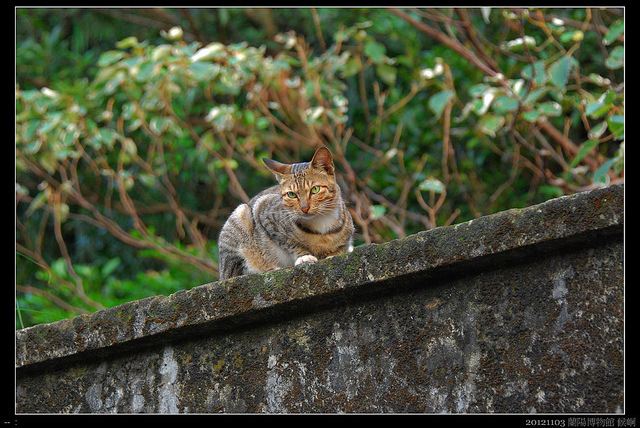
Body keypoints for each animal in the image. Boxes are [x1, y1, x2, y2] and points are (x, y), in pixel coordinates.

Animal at [217, 146, 354, 280]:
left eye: (315, 189)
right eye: (291, 194)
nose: (304, 208)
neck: (321, 223)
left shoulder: (347, 236)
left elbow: (341, 247)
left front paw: (334, 254)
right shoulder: (264, 212)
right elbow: (290, 243)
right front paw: (304, 256)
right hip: (240, 218)